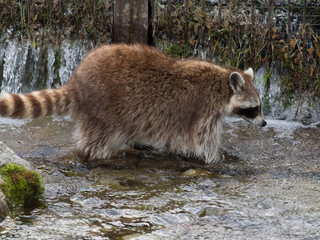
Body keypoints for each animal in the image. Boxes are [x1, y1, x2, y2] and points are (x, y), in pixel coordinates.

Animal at [0, 44, 264, 165]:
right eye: (254, 108)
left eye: (260, 106)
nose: (263, 123)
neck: (222, 84)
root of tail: (77, 81)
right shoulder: (204, 108)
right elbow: (203, 138)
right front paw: (216, 159)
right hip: (105, 108)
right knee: (98, 139)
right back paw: (92, 156)